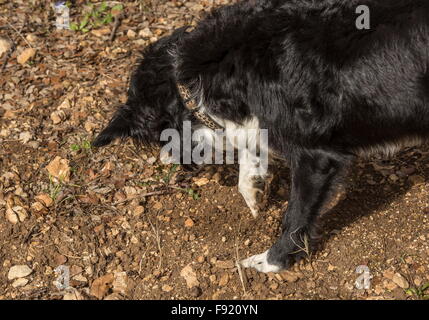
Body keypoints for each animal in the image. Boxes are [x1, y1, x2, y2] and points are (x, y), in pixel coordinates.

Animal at [93, 0, 428, 272]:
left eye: (159, 138)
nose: (172, 163)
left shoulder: (317, 158)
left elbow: (295, 217)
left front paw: (272, 261)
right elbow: (249, 155)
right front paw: (254, 190)